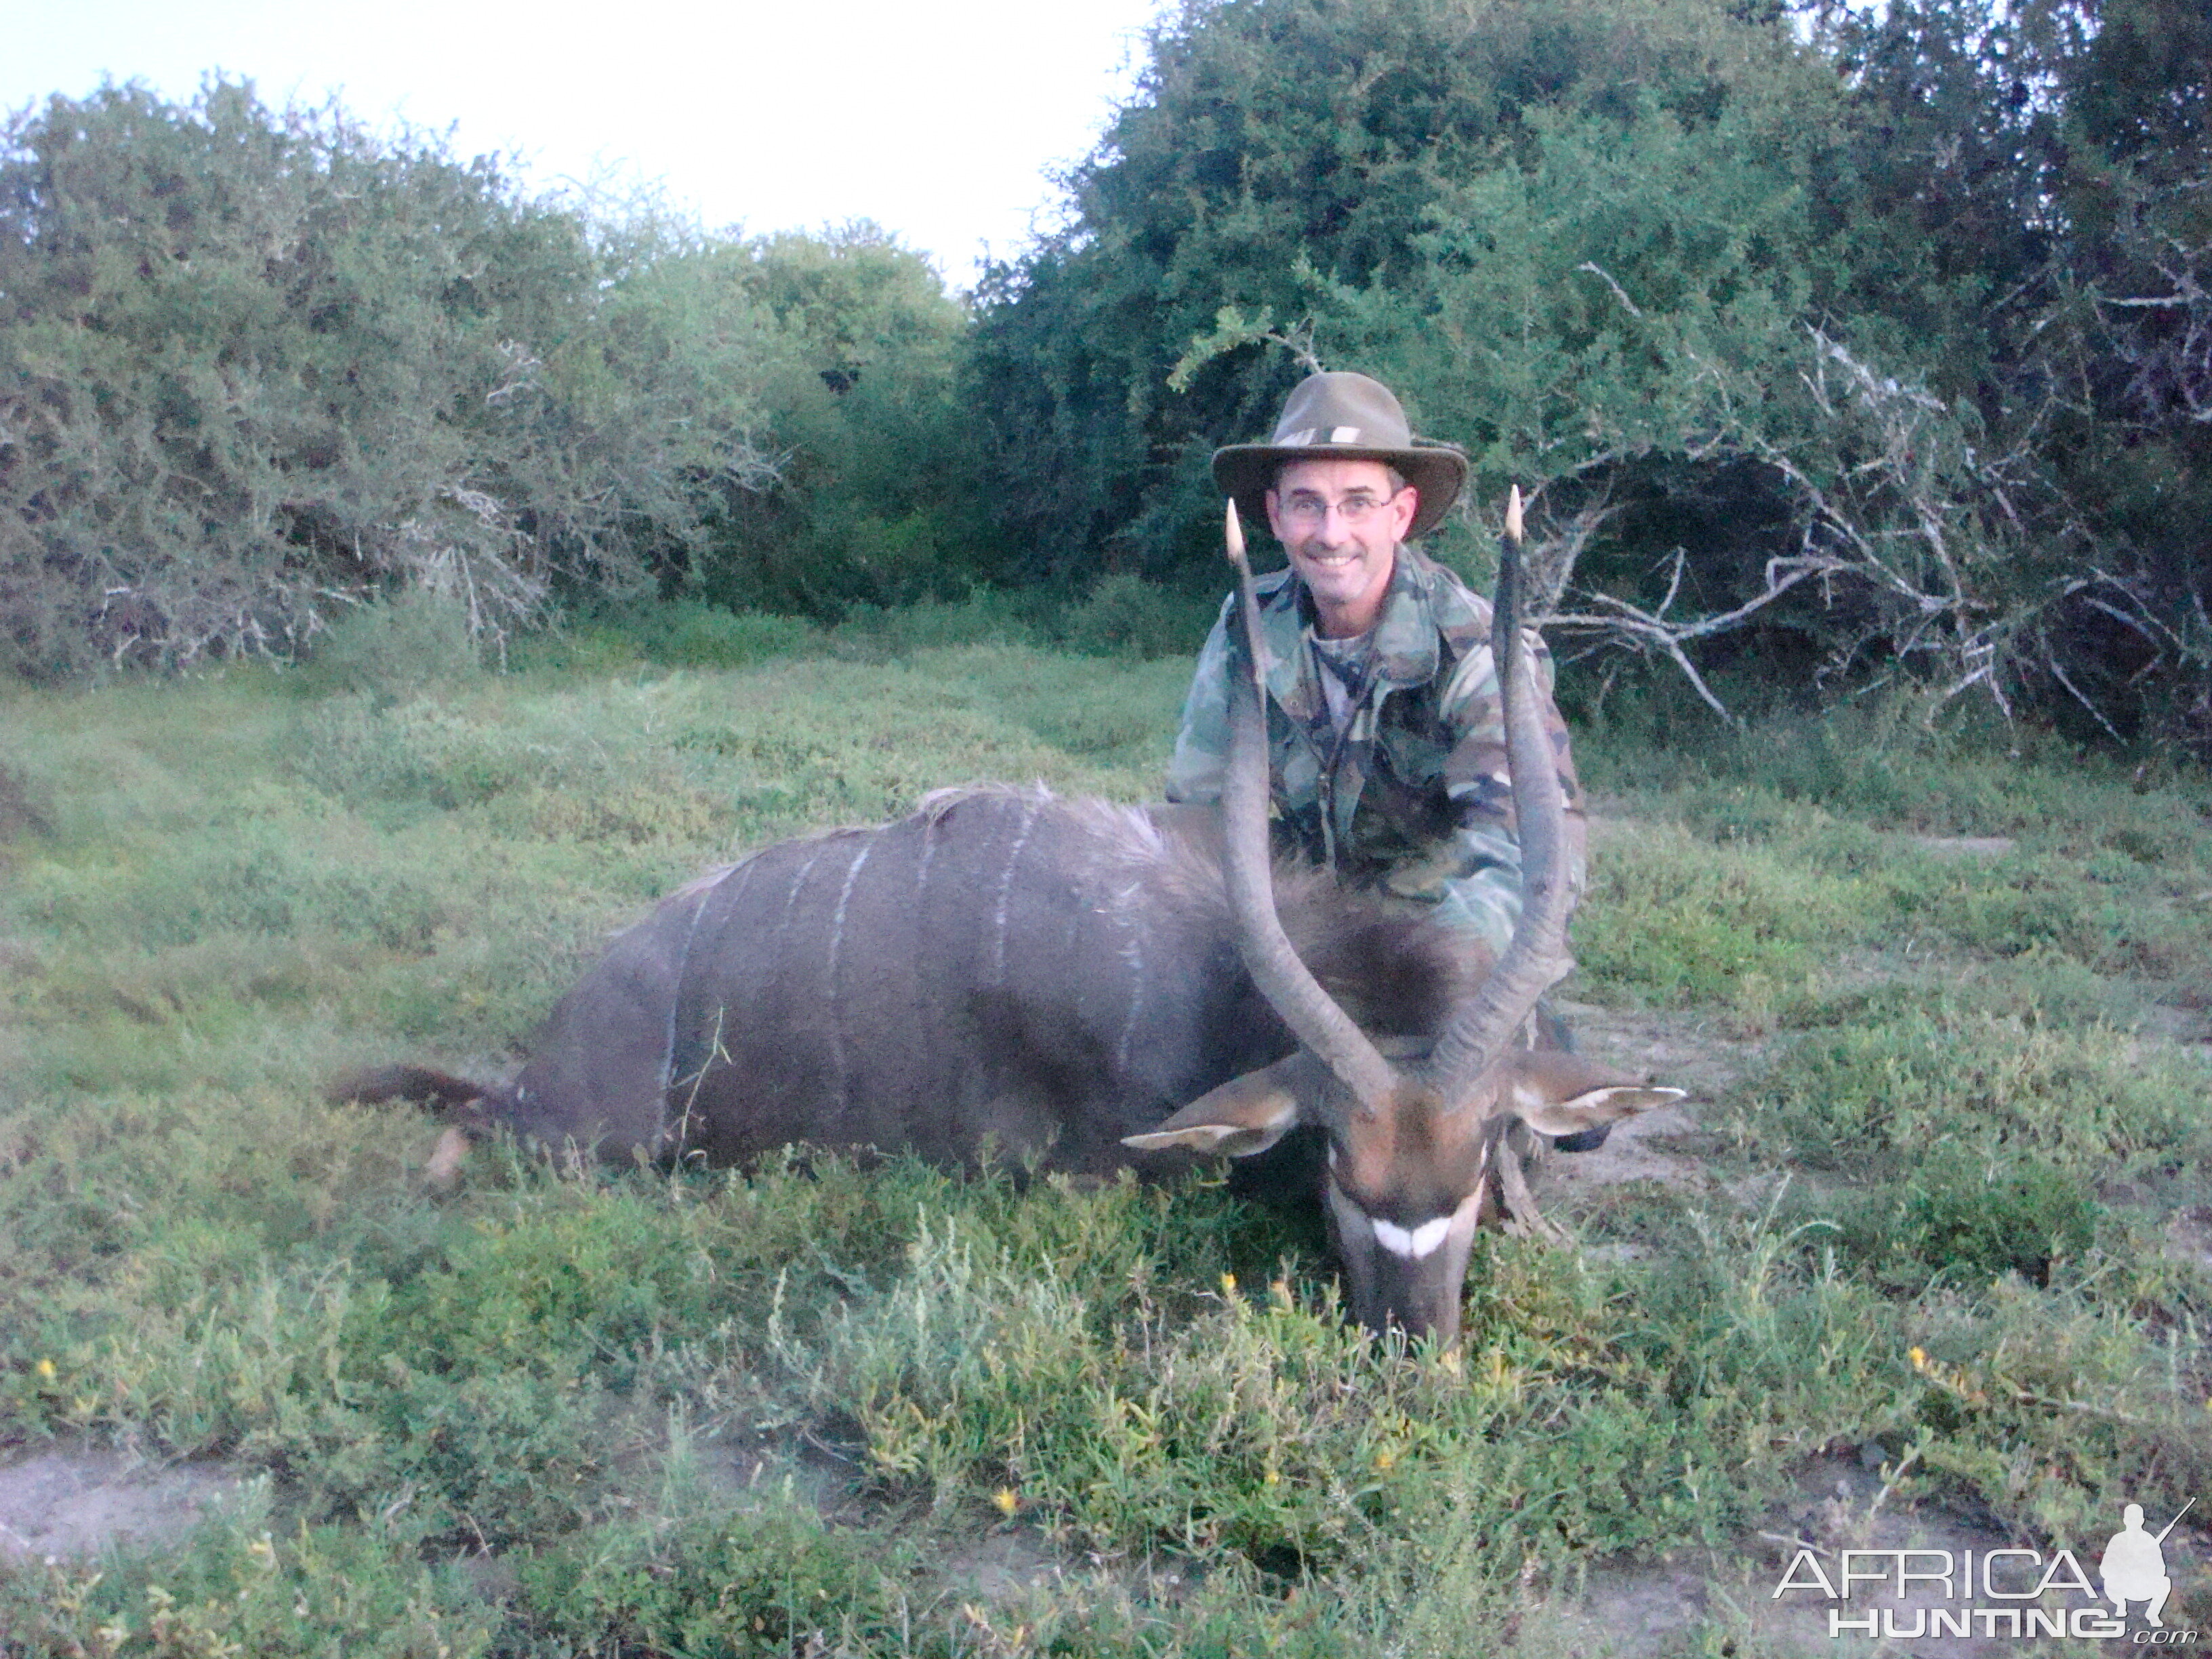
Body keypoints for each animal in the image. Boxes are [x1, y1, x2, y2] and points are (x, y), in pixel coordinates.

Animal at [340, 493, 1672, 1353]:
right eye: (1339, 1163)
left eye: (1479, 1159)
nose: (1415, 1351)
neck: (1206, 975)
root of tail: (563, 1029)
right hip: (578, 1144)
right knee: (461, 1131)